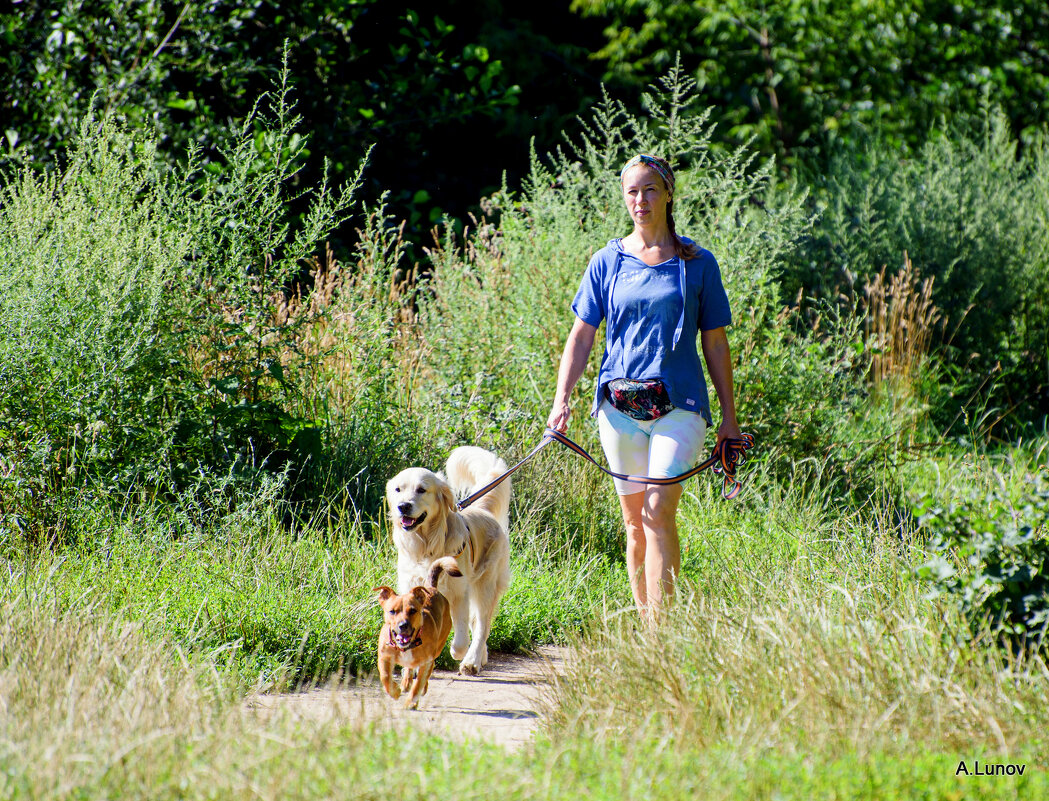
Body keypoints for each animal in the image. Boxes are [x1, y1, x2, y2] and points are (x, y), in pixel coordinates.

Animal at [375, 557, 461, 708]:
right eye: (392, 611)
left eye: (413, 610)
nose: (403, 625)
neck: (406, 647)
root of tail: (432, 588)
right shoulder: (384, 657)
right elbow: (385, 677)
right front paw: (395, 692)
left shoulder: (426, 662)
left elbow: (419, 683)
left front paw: (411, 702)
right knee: (410, 669)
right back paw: (405, 683)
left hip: (438, 648)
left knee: (426, 673)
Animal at [390, 446, 511, 670]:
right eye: (398, 489)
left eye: (421, 489)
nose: (403, 506)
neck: (426, 545)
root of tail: (481, 509)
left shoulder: (458, 592)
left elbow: (462, 636)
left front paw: (457, 651)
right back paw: (481, 657)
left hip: (485, 585)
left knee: (482, 625)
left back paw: (472, 661)